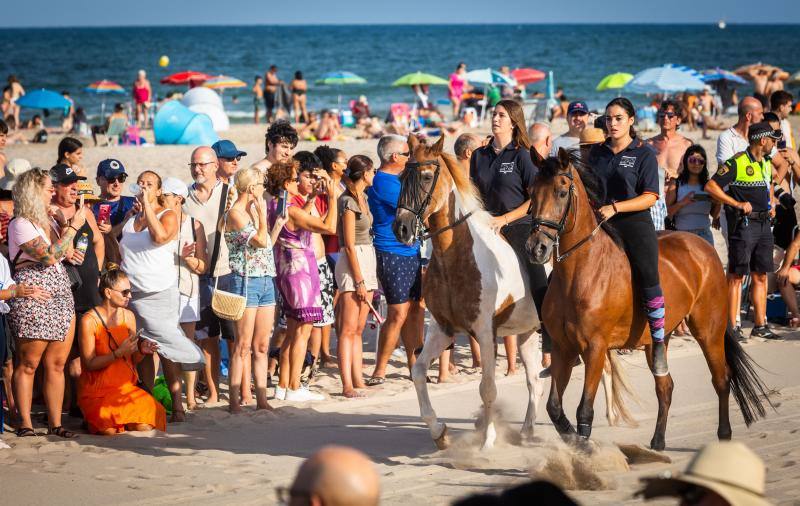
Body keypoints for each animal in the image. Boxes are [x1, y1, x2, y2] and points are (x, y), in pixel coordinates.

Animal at [392, 134, 548, 450]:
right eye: (401, 177)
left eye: (426, 177)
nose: (401, 228)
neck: (455, 257)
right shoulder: (443, 329)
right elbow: (418, 372)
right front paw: (439, 432)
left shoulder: (486, 333)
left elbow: (487, 388)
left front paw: (488, 441)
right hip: (527, 333)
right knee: (534, 381)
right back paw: (526, 432)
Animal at [520, 148, 772, 448]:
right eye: (532, 193)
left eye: (560, 192)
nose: (536, 248)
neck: (580, 270)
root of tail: (702, 246)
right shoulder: (562, 347)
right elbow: (555, 407)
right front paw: (571, 438)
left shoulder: (594, 348)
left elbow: (584, 409)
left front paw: (584, 446)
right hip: (656, 341)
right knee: (666, 386)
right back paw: (658, 440)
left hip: (708, 330)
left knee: (721, 379)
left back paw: (723, 435)